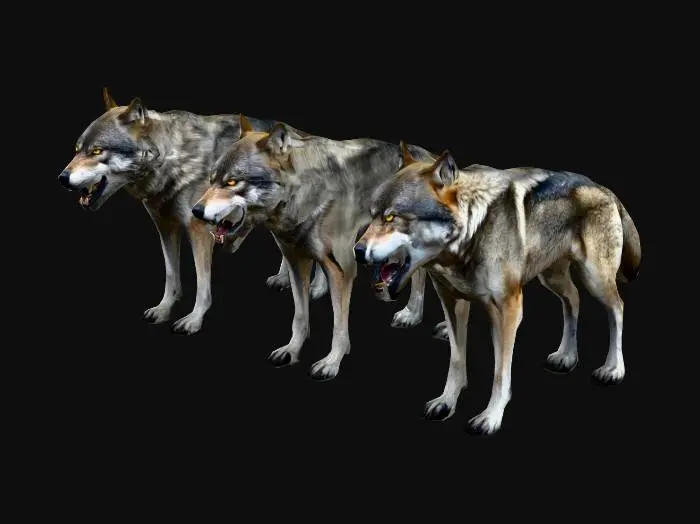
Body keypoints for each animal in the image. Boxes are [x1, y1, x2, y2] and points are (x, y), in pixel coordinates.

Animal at [56, 89, 328, 334]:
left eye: (97, 151)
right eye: (77, 149)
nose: (62, 178)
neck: (171, 159)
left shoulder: (200, 231)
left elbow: (202, 285)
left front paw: (194, 320)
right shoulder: (165, 226)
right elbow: (171, 275)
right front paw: (164, 309)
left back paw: (316, 288)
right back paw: (284, 279)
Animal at [191, 116, 441, 380]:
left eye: (231, 182)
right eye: (211, 180)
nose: (195, 211)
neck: (304, 194)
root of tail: (431, 156)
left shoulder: (344, 269)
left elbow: (339, 326)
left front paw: (332, 361)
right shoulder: (295, 261)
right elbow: (300, 317)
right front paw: (291, 350)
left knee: (420, 273)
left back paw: (414, 315)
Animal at [354, 142, 642, 435]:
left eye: (391, 217)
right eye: (372, 215)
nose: (357, 251)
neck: (472, 233)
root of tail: (604, 189)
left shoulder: (509, 308)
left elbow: (500, 373)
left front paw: (491, 417)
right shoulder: (452, 301)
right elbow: (456, 359)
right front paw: (447, 402)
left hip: (594, 278)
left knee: (617, 307)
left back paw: (613, 368)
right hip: (551, 278)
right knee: (573, 298)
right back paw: (567, 356)